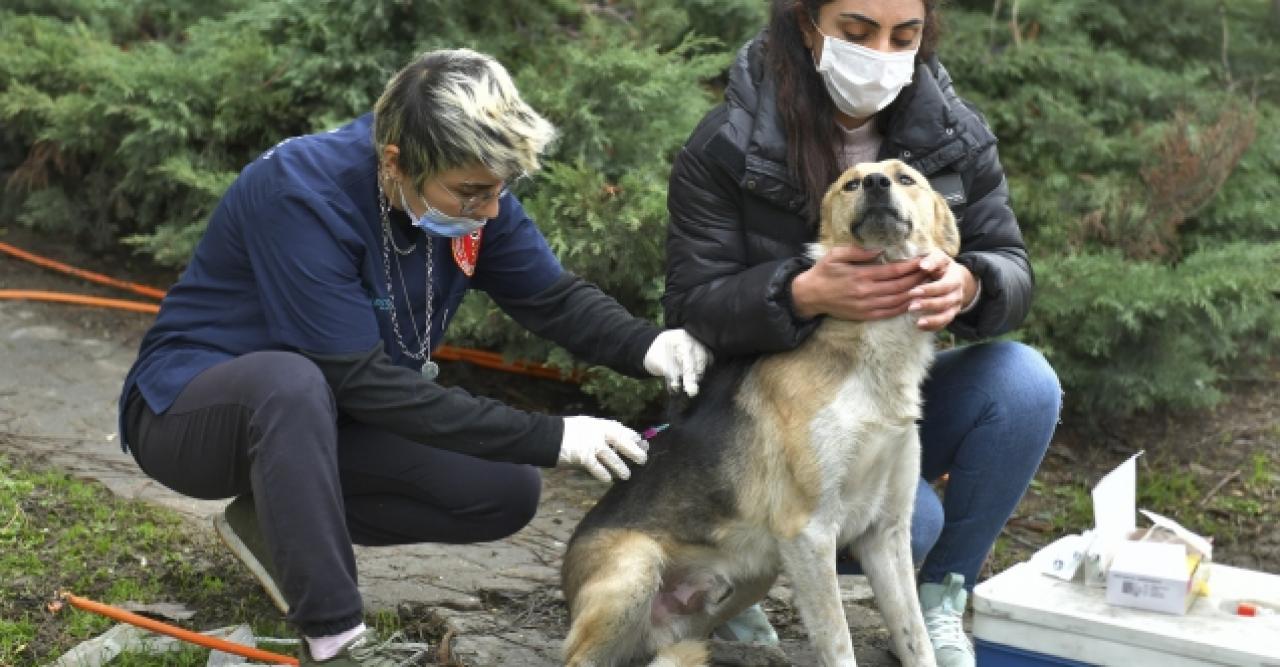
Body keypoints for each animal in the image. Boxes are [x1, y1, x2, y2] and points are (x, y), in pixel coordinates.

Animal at [563, 161, 962, 665]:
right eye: (850, 184)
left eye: (906, 177)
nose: (875, 184)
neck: (871, 357)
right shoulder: (809, 532)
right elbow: (838, 641)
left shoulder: (886, 533)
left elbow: (915, 637)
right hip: (637, 568)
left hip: (754, 576)